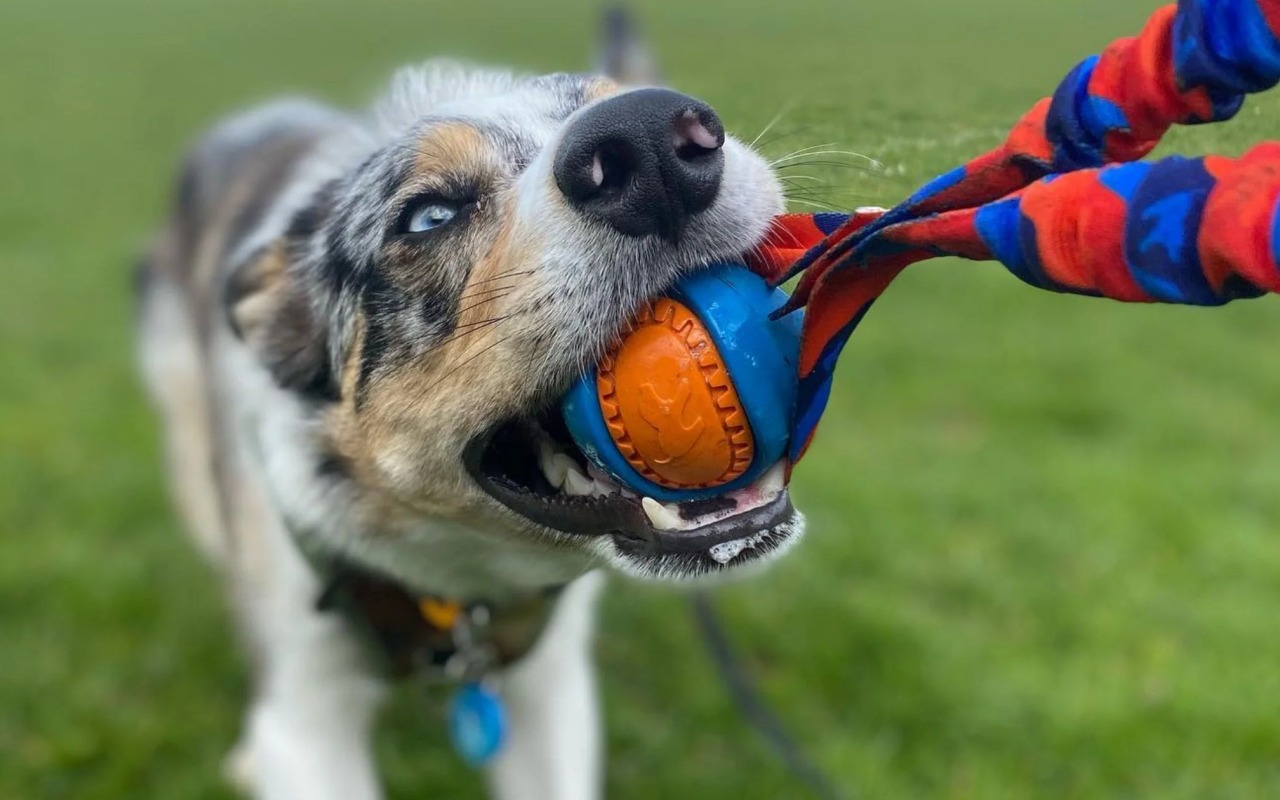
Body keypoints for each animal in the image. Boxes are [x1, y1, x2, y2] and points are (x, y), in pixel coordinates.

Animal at [137, 12, 798, 798]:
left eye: (619, 100)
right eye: (429, 216)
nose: (648, 138)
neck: (458, 586)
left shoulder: (550, 687)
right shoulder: (306, 713)